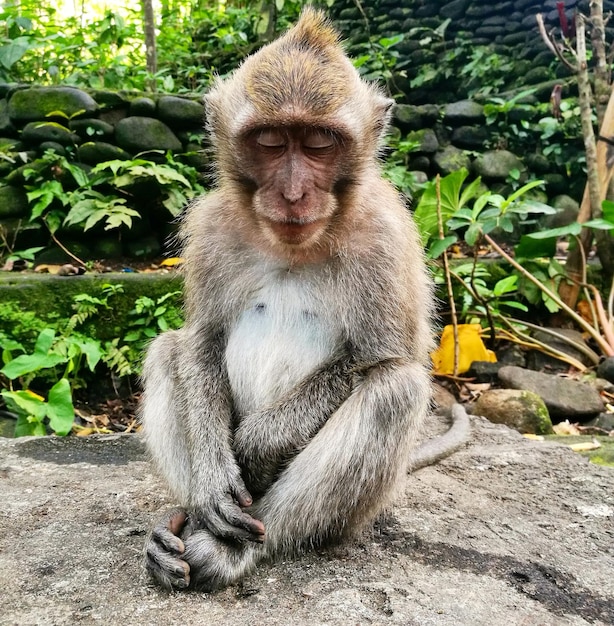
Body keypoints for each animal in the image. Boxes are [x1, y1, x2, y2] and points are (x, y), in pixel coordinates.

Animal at [141, 8, 472, 588]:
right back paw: (182, 526)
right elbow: (202, 341)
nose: (294, 193)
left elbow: (388, 358)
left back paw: (231, 549)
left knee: (396, 390)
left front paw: (256, 444)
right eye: (272, 140)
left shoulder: (387, 239)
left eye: (319, 142)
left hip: (358, 511)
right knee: (167, 351)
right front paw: (214, 477)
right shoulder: (212, 229)